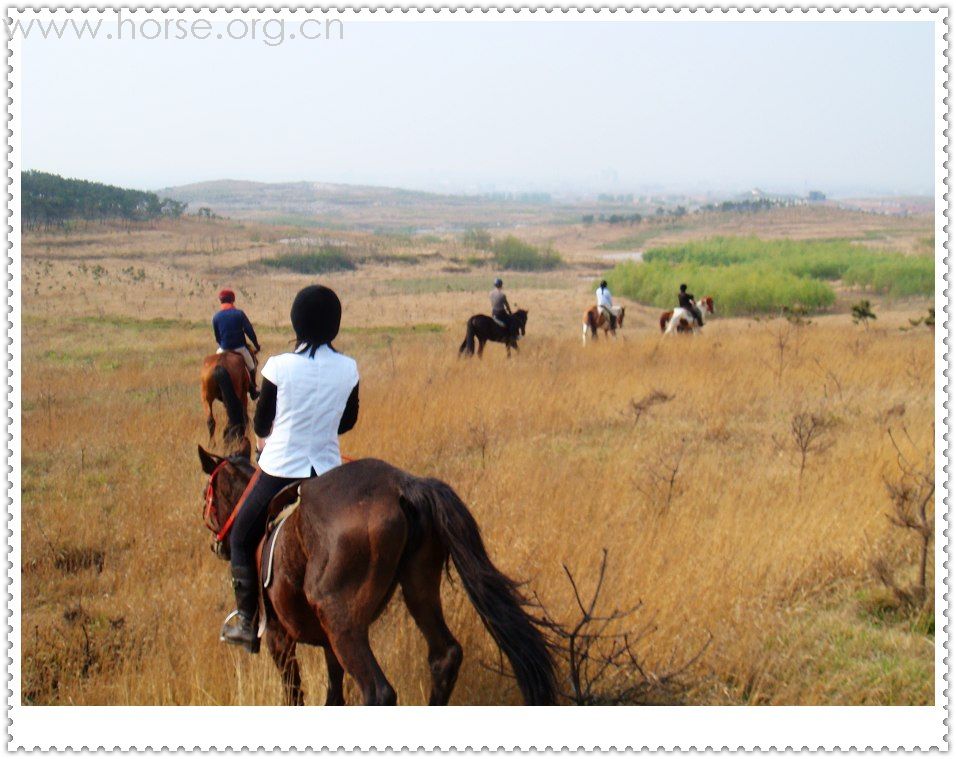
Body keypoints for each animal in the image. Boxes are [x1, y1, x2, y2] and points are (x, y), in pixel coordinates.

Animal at [200, 446, 560, 708]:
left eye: (208, 495)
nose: (218, 544)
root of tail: (404, 486)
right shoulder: (327, 643)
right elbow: (334, 694)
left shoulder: (279, 637)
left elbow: (295, 695)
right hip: (418, 589)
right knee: (444, 656)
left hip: (342, 622)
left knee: (379, 692)